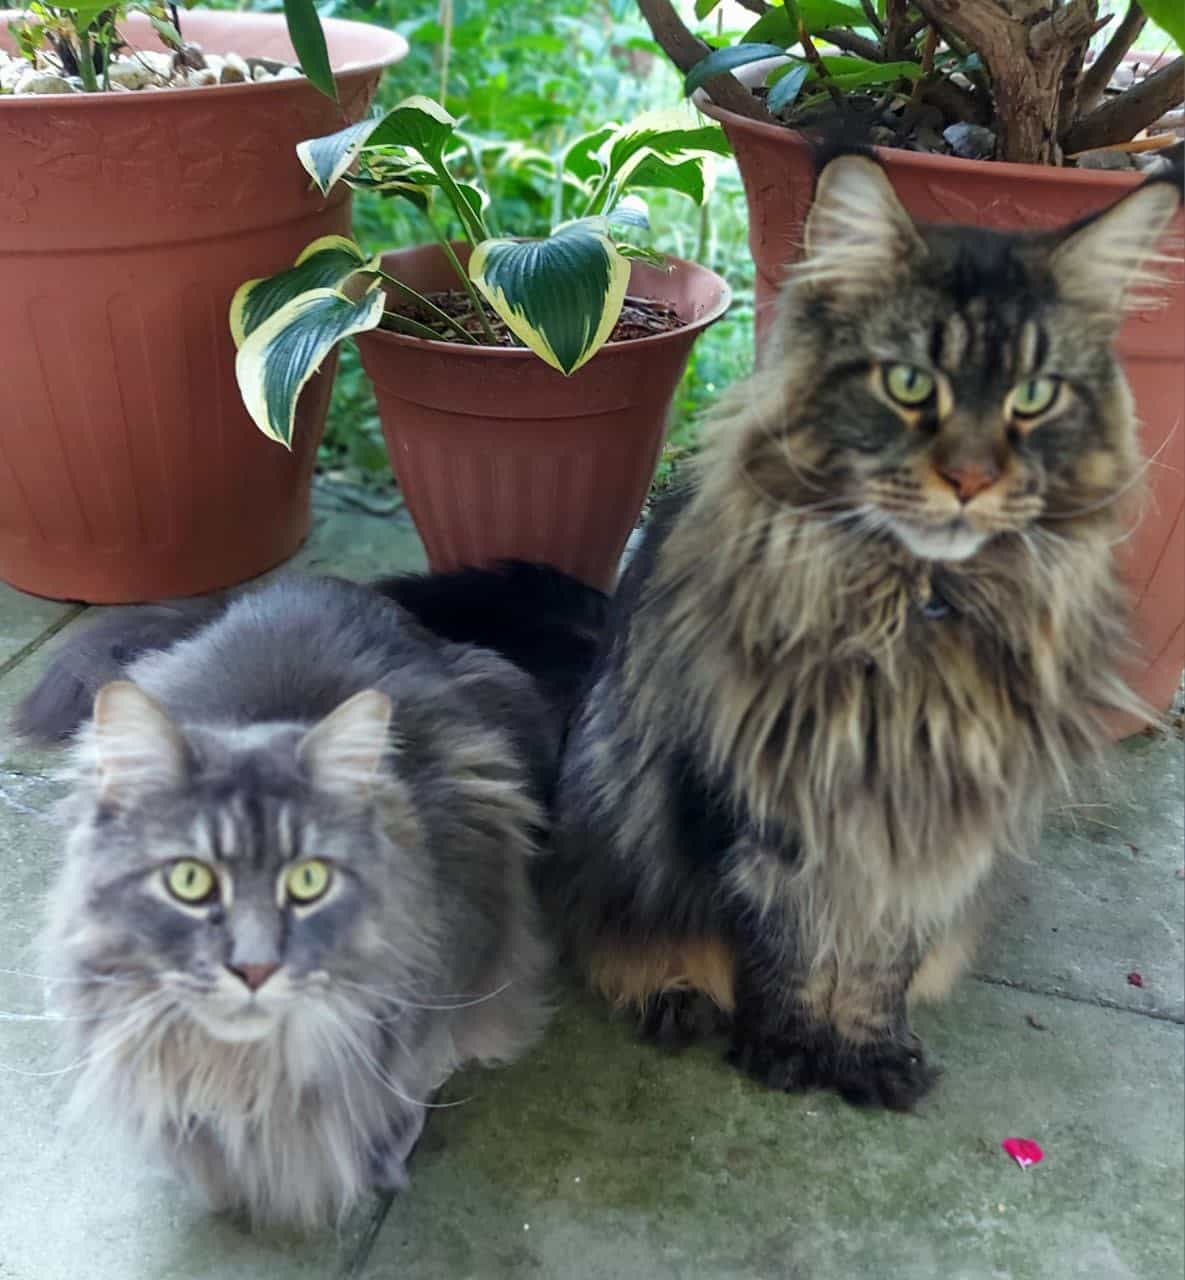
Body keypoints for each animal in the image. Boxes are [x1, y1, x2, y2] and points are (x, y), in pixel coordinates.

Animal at [543, 150, 1182, 1110]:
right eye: (909, 383)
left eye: (1033, 397)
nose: (969, 479)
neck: (913, 612)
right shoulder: (761, 808)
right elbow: (785, 950)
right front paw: (788, 1047)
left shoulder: (935, 826)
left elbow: (883, 960)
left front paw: (868, 1052)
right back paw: (676, 998)